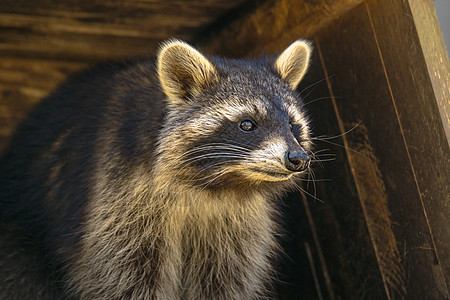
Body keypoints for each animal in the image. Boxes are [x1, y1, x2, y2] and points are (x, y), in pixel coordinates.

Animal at [0, 39, 312, 298]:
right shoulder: (120, 195)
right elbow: (120, 276)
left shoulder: (237, 225)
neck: (212, 186)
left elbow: (225, 279)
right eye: (247, 124)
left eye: (292, 125)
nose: (297, 158)